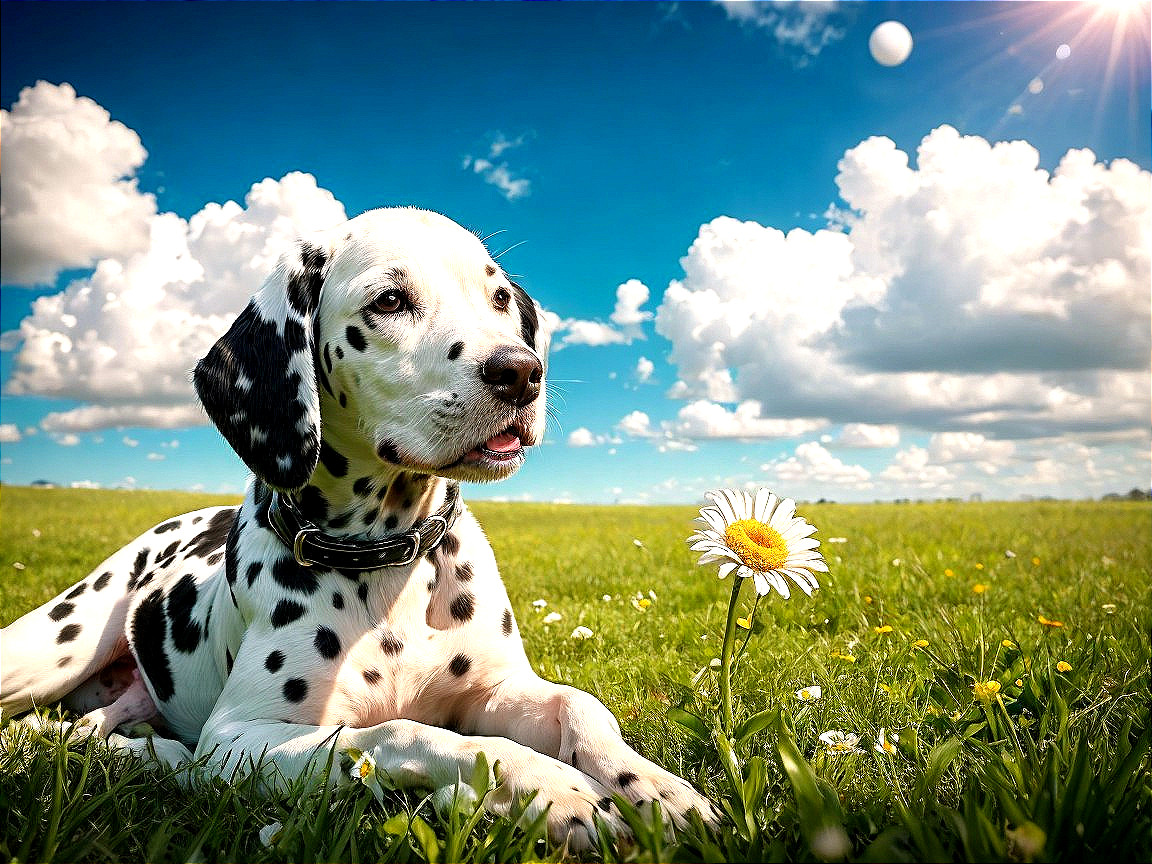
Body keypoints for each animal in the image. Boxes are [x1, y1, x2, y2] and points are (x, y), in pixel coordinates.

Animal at [2, 208, 709, 852]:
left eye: (499, 298)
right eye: (389, 300)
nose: (521, 370)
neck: (391, 563)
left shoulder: (501, 693)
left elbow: (581, 707)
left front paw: (656, 789)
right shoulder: (240, 738)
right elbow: (416, 734)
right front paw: (555, 788)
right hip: (50, 651)